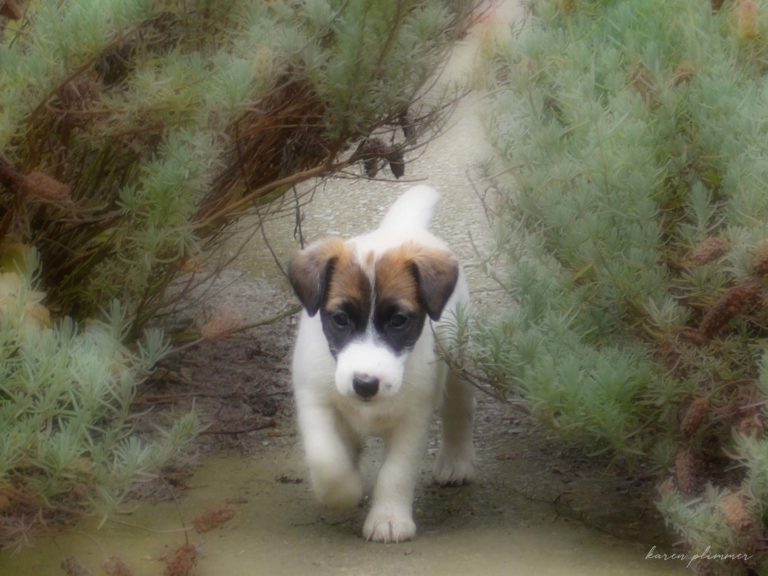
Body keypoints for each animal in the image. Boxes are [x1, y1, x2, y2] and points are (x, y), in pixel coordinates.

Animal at [288, 186, 474, 544]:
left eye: (399, 320)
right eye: (340, 319)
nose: (365, 383)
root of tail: (402, 228)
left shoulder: (413, 419)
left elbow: (395, 473)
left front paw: (389, 518)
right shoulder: (315, 400)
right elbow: (326, 459)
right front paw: (344, 491)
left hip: (458, 364)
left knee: (459, 413)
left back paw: (456, 461)